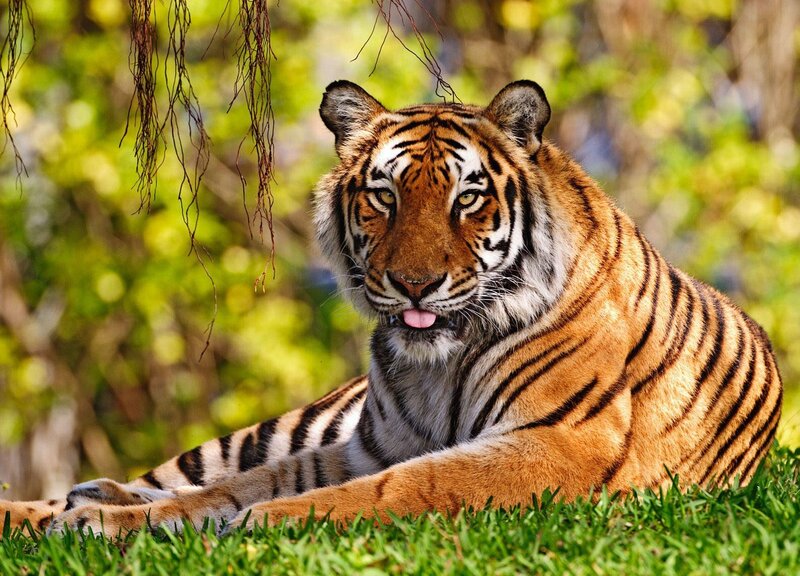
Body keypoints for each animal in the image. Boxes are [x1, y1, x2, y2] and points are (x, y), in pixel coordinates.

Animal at [1, 80, 782, 537]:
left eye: (467, 197)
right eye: (384, 195)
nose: (414, 284)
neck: (436, 364)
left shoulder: (558, 442)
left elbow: (402, 487)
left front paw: (261, 522)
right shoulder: (365, 444)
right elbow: (232, 487)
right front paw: (110, 522)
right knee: (171, 475)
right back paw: (69, 504)